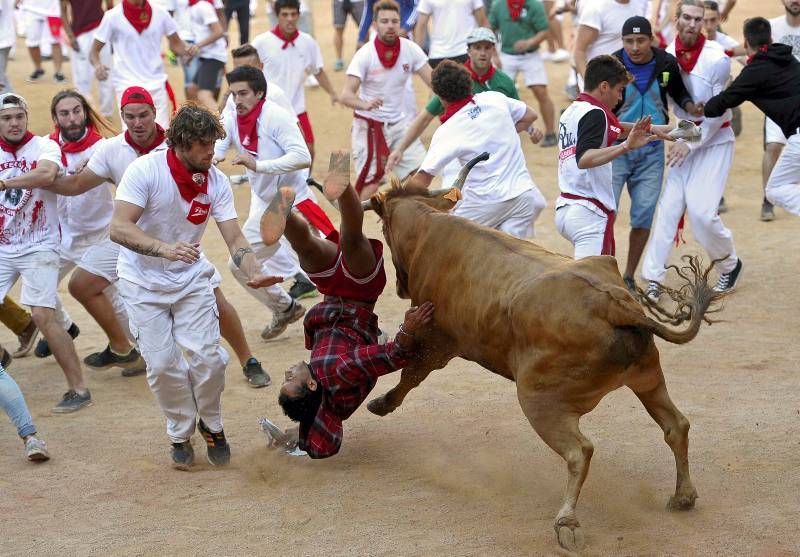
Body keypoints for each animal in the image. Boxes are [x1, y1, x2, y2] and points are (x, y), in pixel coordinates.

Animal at [364, 177, 724, 548]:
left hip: (539, 400)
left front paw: (381, 403)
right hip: (647, 376)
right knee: (676, 426)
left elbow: (411, 374)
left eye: (384, 227)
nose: (399, 286)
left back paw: (566, 521)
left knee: (580, 451)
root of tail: (613, 305)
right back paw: (683, 496)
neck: (428, 226)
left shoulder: (437, 341)